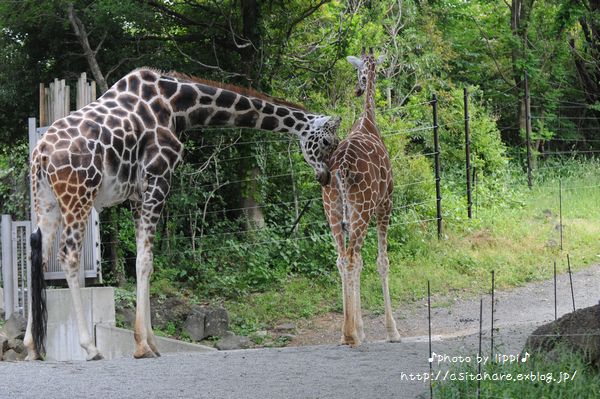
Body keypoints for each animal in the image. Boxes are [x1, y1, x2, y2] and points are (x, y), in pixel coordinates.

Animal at [25, 67, 340, 360]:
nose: (325, 177)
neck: (178, 106)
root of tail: (41, 153)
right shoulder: (158, 178)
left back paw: (32, 347)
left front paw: (150, 342)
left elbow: (145, 260)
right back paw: (90, 348)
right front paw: (142, 345)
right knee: (68, 255)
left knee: (39, 256)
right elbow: (145, 261)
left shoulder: (138, 195)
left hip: (47, 201)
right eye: (327, 142)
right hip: (78, 196)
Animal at [322, 48, 400, 348]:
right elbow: (381, 261)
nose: (357, 88)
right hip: (363, 210)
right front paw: (391, 331)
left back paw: (347, 333)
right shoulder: (385, 202)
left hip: (333, 211)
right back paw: (351, 334)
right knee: (353, 258)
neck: (368, 120)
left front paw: (362, 328)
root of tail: (342, 169)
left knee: (343, 259)